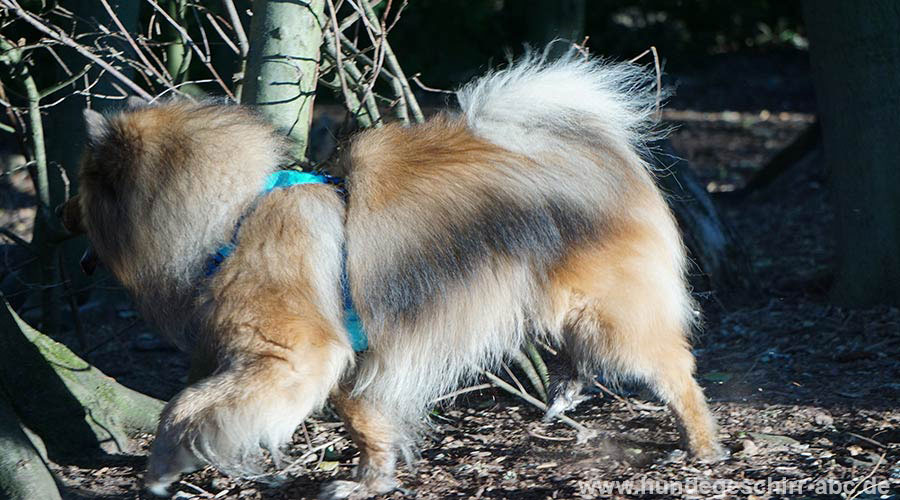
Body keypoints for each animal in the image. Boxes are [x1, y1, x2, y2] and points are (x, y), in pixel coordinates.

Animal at [61, 52, 724, 498]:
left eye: (80, 186)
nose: (60, 217)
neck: (235, 213)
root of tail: (597, 154)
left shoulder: (290, 358)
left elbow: (186, 406)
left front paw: (163, 468)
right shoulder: (353, 361)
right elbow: (366, 424)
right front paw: (370, 481)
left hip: (604, 313)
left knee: (676, 370)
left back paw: (701, 446)